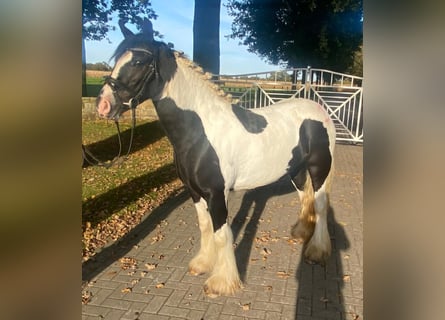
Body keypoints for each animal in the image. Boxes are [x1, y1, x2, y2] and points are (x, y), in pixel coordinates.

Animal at [96, 19, 332, 296]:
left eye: (138, 62)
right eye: (116, 59)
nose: (103, 105)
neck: (200, 131)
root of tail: (319, 110)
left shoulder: (217, 193)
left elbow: (221, 234)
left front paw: (222, 281)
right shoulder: (194, 192)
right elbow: (204, 226)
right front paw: (202, 264)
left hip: (319, 170)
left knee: (320, 205)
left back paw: (317, 251)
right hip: (295, 171)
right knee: (305, 198)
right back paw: (302, 232)